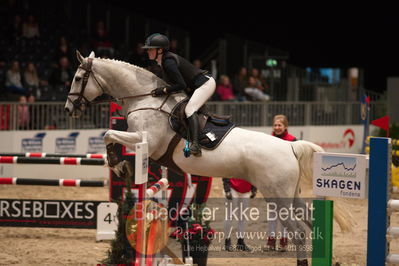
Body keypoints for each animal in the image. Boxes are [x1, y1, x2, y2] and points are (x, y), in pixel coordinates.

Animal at [65, 51, 354, 264]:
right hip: (291, 195)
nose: (69, 109)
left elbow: (108, 134)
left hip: (277, 196)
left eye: (78, 78)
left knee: (298, 233)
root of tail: (290, 148)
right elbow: (111, 136)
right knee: (311, 223)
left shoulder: (143, 140)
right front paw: (121, 166)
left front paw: (118, 165)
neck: (145, 99)